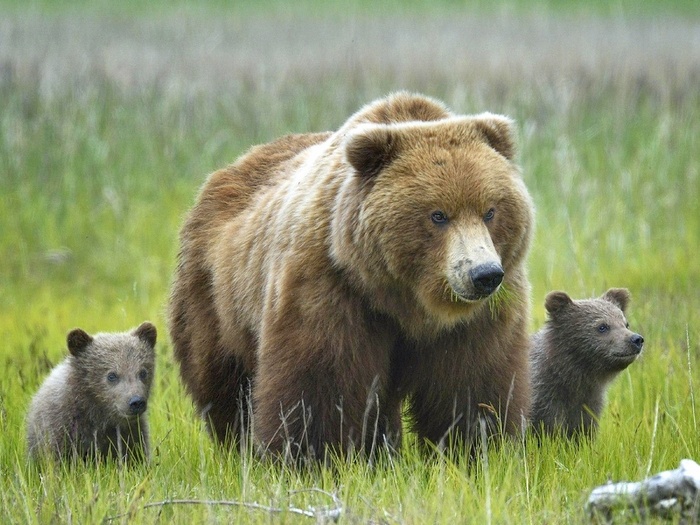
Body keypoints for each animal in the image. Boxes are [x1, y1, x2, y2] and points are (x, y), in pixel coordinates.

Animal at [171, 92, 536, 460]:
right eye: (438, 215)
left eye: (490, 211)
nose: (484, 274)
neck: (407, 299)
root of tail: (234, 165)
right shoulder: (331, 286)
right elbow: (319, 382)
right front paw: (311, 455)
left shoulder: (478, 320)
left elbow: (473, 385)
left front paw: (477, 450)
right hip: (216, 297)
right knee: (225, 384)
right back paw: (240, 447)